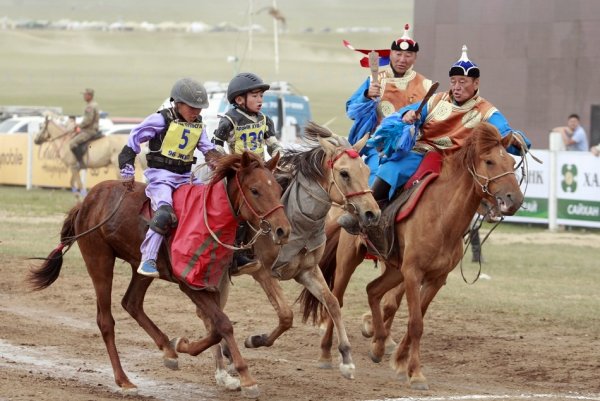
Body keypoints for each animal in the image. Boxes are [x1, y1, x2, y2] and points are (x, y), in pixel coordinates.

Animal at [27, 151, 290, 396]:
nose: (283, 230)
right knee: (106, 320)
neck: (209, 217)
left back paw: (168, 349)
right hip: (99, 259)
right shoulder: (189, 284)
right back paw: (124, 380)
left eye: (278, 189)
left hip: (141, 266)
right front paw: (247, 378)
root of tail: (85, 202)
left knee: (131, 303)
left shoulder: (209, 281)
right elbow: (223, 324)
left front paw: (182, 345)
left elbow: (216, 327)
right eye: (255, 190)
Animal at [202, 120, 380, 382]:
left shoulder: (307, 271)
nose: (372, 213)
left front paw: (346, 358)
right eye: (344, 173)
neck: (296, 223)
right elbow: (286, 316)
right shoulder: (262, 273)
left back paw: (226, 357)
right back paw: (222, 369)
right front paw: (255, 339)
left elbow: (332, 303)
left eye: (366, 171)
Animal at [300, 123, 524, 390]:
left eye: (512, 162)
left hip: (395, 269)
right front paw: (415, 373)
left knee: (373, 290)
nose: (515, 199)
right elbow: (416, 323)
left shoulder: (435, 278)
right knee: (337, 299)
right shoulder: (413, 273)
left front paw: (399, 361)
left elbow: (414, 320)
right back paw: (326, 353)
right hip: (349, 259)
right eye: (489, 161)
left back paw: (378, 344)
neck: (442, 216)